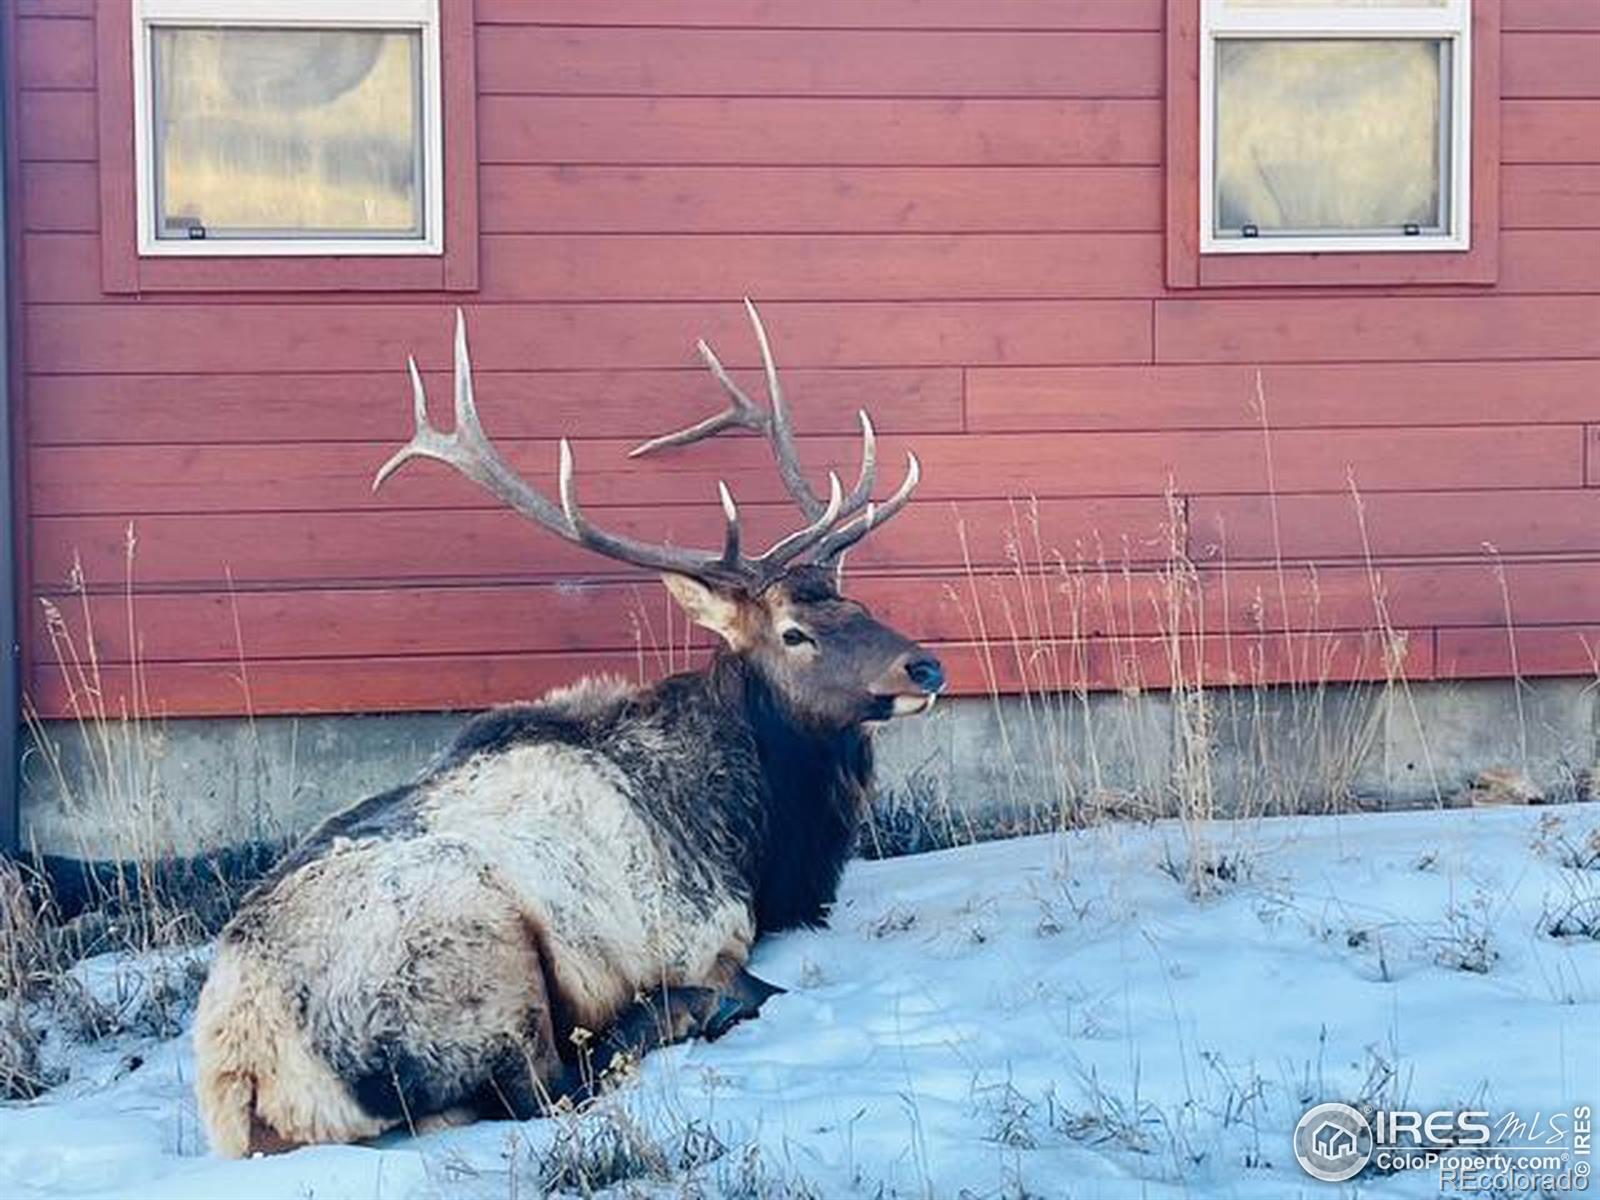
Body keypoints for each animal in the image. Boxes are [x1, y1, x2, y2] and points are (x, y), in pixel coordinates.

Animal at [193, 300, 940, 1158]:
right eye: (794, 633)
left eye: (858, 602)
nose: (926, 667)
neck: (758, 838)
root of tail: (243, 1068)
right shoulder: (699, 929)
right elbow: (737, 978)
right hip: (480, 955)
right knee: (543, 1089)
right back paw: (666, 1016)